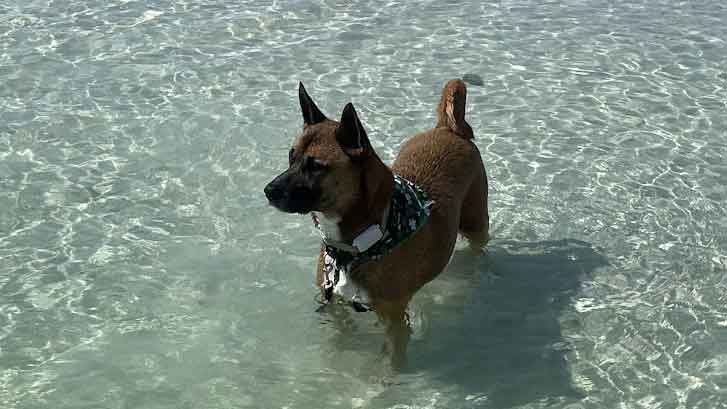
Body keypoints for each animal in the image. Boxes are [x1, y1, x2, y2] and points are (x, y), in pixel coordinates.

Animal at [264, 79, 490, 366]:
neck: (361, 244)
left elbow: (391, 365)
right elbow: (340, 338)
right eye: (290, 156)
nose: (268, 191)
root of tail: (449, 129)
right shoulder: (336, 305)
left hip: (476, 222)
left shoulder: (395, 323)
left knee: (478, 247)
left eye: (316, 167)